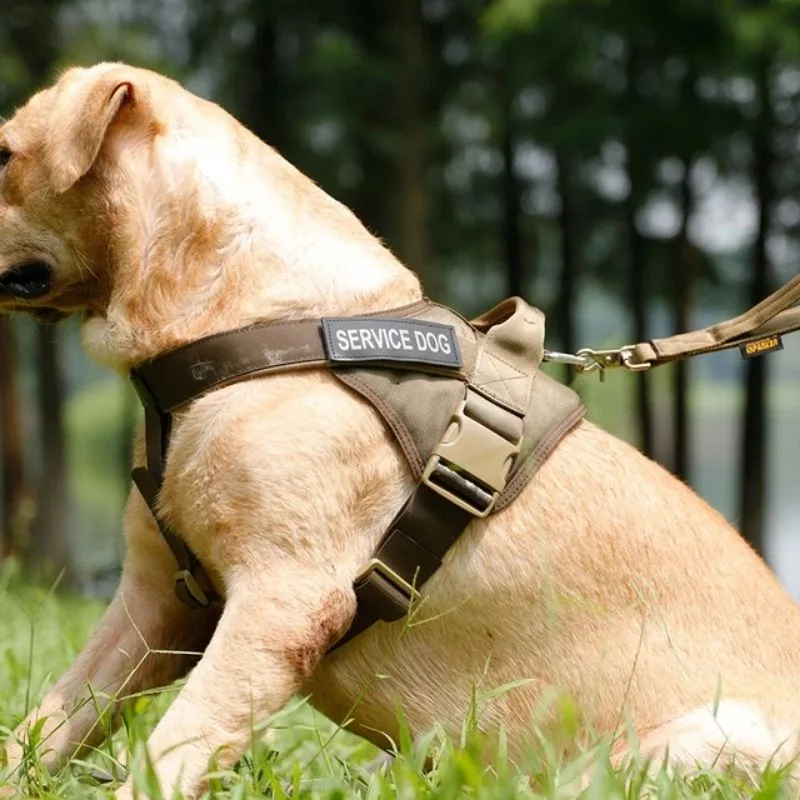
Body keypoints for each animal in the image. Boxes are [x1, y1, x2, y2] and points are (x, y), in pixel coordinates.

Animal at [1, 61, 800, 792]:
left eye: (4, 153)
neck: (249, 323)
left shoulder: (281, 602)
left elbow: (168, 755)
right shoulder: (152, 604)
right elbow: (46, 724)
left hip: (706, 739)